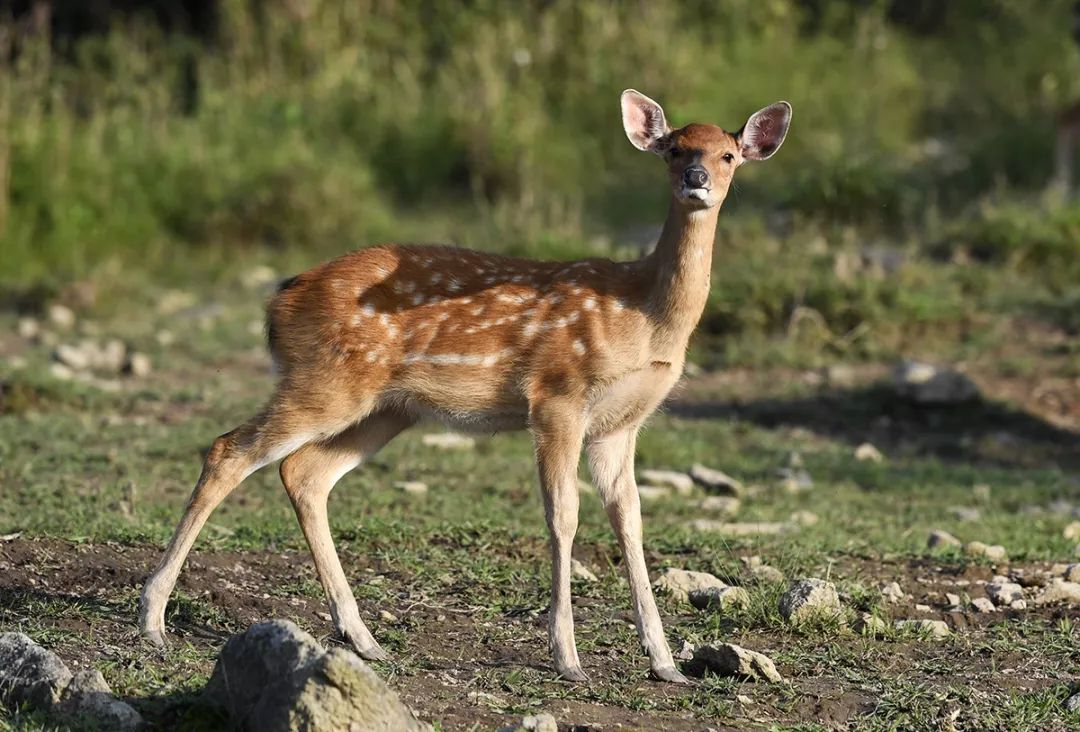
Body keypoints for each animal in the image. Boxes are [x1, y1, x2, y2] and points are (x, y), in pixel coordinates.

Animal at [139, 89, 790, 686]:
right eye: (674, 149)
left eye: (729, 154)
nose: (697, 179)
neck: (644, 316)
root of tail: (280, 301)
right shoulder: (557, 395)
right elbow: (564, 516)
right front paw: (568, 658)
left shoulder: (621, 424)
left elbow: (629, 520)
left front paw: (665, 663)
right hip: (326, 380)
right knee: (229, 449)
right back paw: (153, 620)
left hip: (384, 407)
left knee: (304, 473)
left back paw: (363, 638)